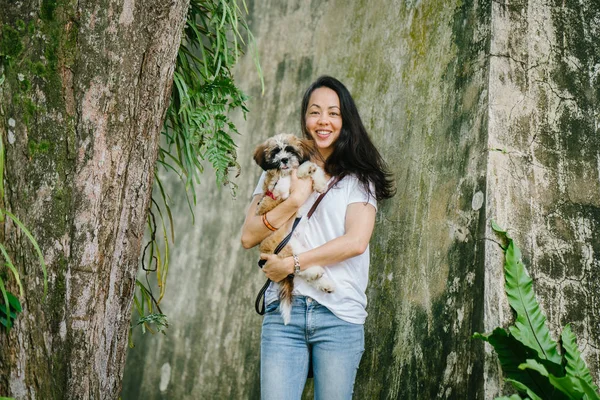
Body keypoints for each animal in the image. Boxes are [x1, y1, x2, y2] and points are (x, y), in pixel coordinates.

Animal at [253, 133, 336, 324]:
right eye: (276, 152)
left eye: (290, 150)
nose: (284, 159)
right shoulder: (278, 191)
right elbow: (287, 181)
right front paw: (298, 175)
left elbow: (313, 168)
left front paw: (318, 182)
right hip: (287, 248)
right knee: (300, 267)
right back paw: (317, 275)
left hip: (298, 247)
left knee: (301, 268)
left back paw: (324, 284)